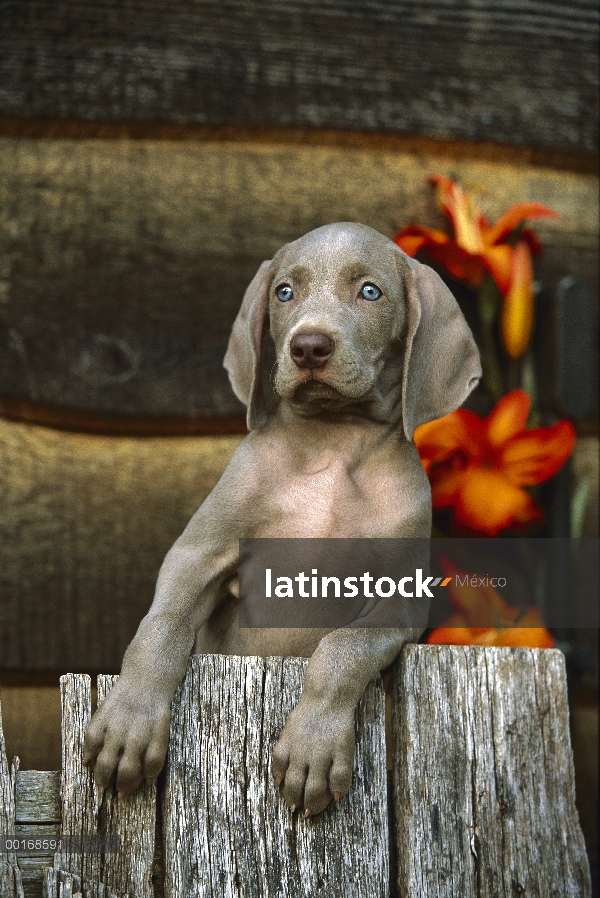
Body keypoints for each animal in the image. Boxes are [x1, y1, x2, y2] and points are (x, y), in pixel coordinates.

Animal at [84, 222, 480, 812]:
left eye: (370, 291)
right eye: (285, 292)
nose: (309, 346)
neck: (334, 444)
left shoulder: (402, 602)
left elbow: (342, 650)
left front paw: (312, 744)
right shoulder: (197, 553)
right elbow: (162, 627)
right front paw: (128, 722)